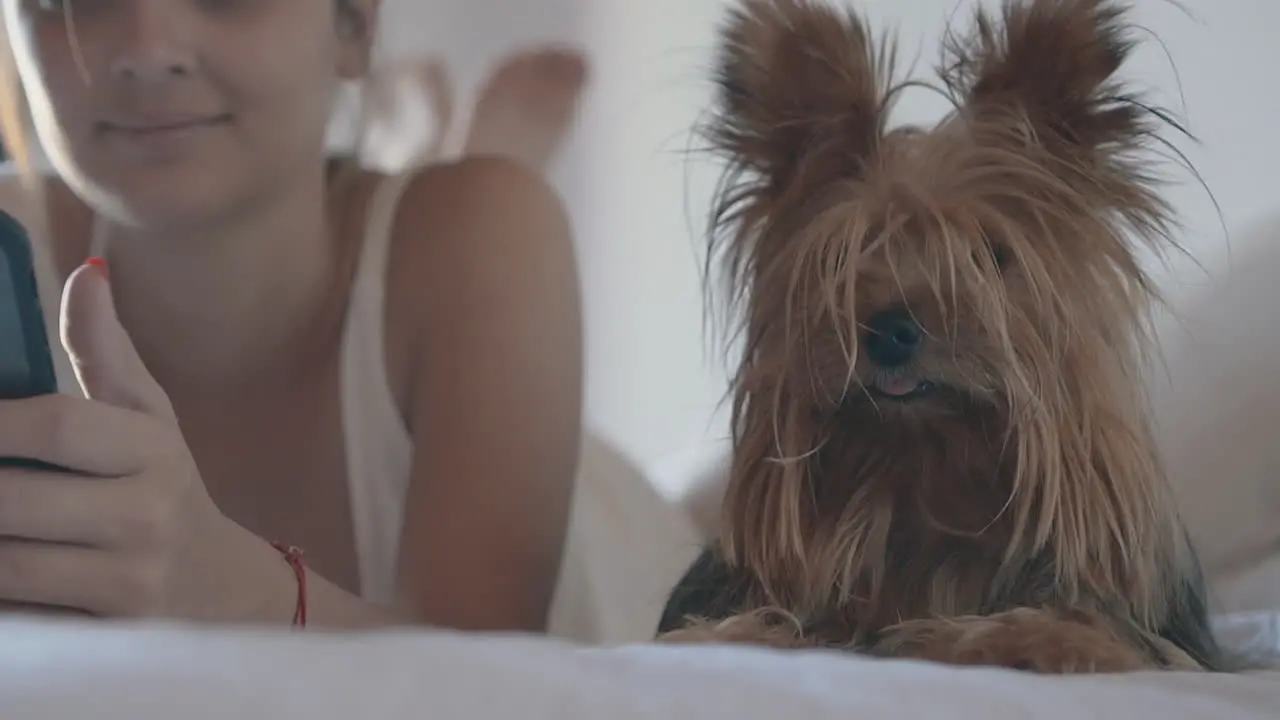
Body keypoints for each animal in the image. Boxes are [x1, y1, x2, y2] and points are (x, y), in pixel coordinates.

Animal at [660, 0, 1228, 671]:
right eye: (840, 260)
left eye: (989, 254)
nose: (890, 330)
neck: (927, 479)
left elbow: (1079, 635)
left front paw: (994, 637)